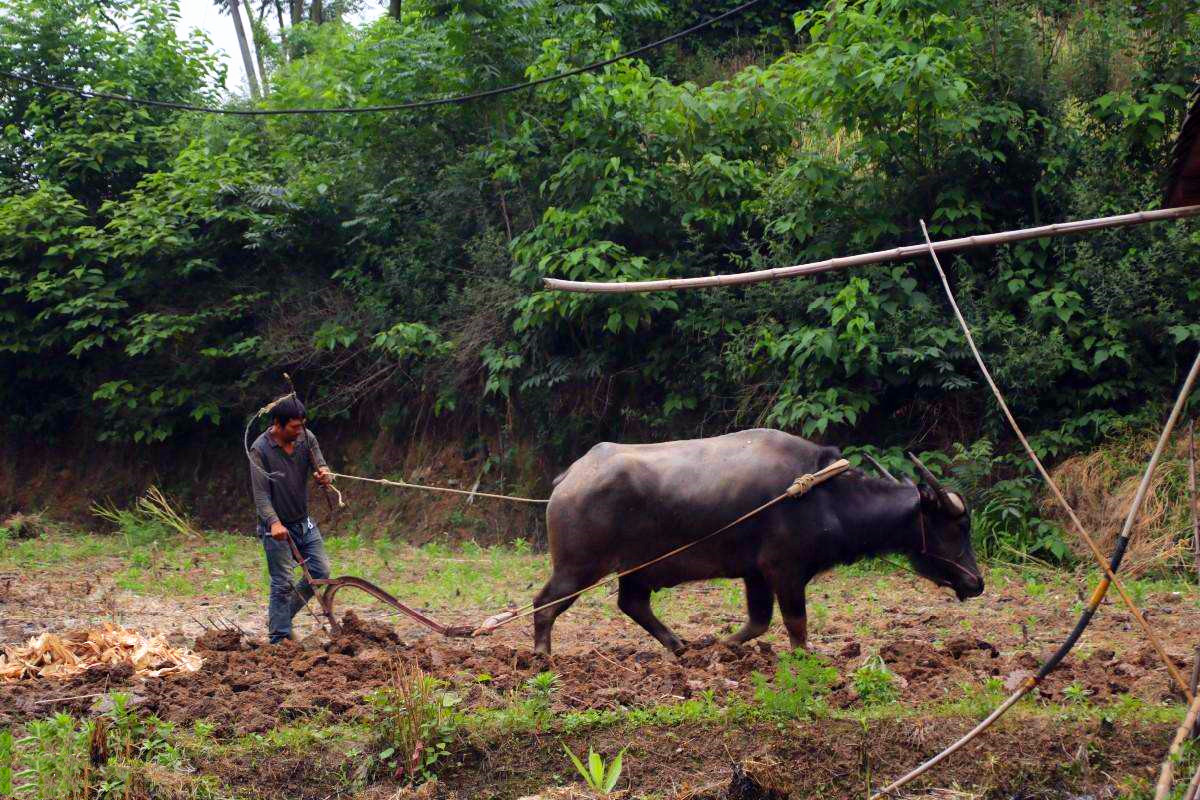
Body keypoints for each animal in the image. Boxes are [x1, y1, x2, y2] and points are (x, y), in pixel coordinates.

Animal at [535, 429, 984, 652]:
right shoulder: (785, 571)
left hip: (636, 570)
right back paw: (541, 657)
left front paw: (723, 647)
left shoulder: (756, 574)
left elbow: (758, 622)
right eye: (958, 526)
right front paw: (805, 661)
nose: (976, 582)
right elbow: (795, 626)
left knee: (632, 603)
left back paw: (679, 647)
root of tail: (570, 477)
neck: (827, 498)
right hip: (578, 566)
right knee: (545, 604)